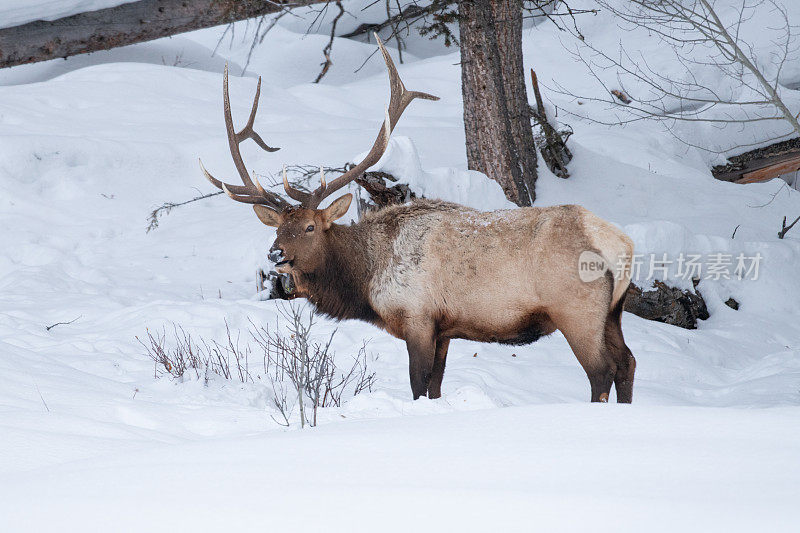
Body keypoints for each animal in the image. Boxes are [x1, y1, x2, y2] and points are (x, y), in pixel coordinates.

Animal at [202, 37, 636, 402]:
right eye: (278, 227)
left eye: (310, 227)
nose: (275, 254)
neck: (366, 282)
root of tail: (620, 244)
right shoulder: (444, 329)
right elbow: (435, 387)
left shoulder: (418, 319)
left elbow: (417, 385)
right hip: (612, 311)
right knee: (627, 363)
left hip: (576, 310)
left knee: (601, 371)